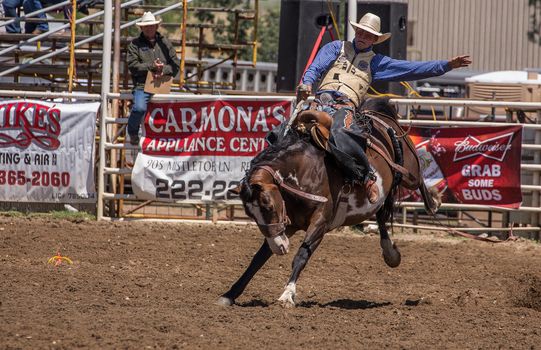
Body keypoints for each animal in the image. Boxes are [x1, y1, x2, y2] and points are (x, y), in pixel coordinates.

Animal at [215, 97, 438, 308]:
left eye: (267, 205)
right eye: (250, 214)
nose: (280, 247)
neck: (305, 170)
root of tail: (373, 113)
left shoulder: (320, 222)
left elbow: (301, 255)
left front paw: (287, 295)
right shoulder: (287, 225)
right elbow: (258, 258)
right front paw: (229, 294)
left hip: (409, 169)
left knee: (418, 177)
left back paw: (434, 201)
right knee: (382, 215)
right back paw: (391, 254)